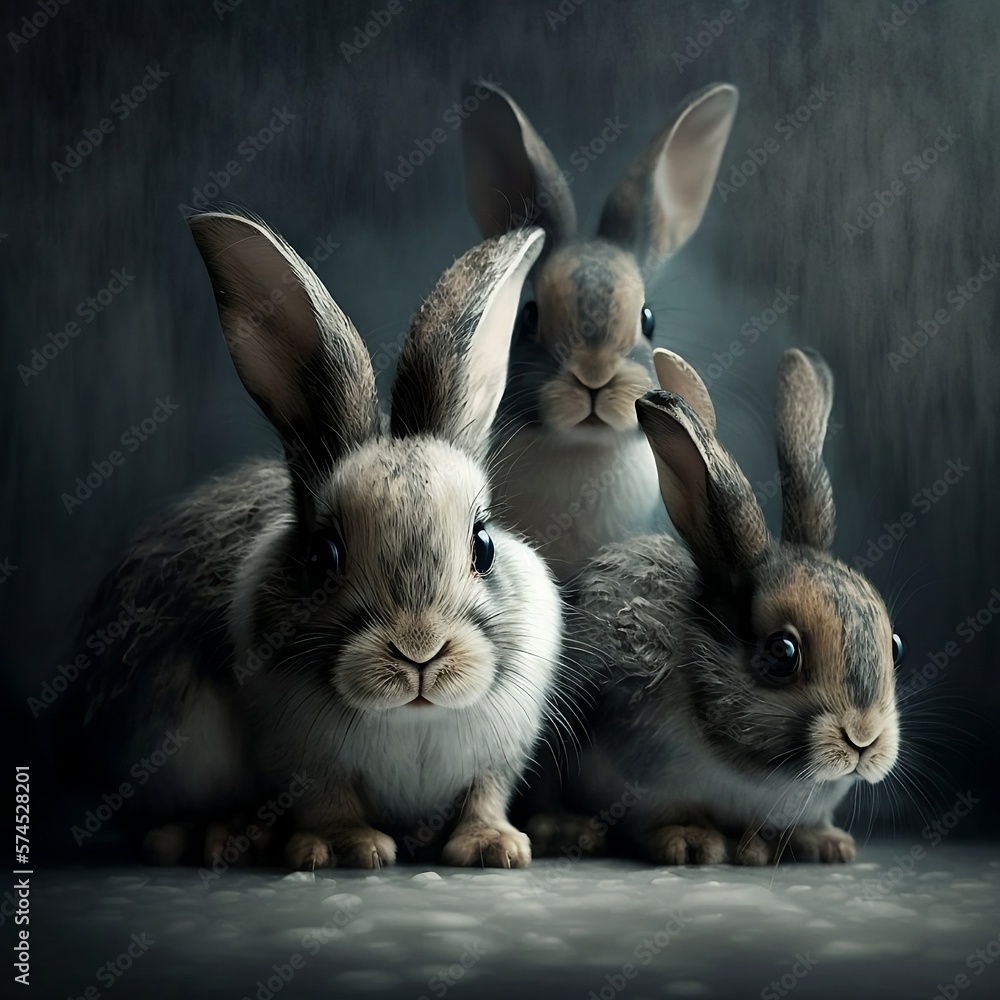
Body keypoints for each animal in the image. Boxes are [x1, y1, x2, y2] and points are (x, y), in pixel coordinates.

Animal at [62, 212, 566, 871]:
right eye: (322, 556)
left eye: (483, 546)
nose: (420, 651)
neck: (412, 721)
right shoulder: (303, 763)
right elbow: (329, 802)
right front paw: (347, 848)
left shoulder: (495, 762)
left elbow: (484, 796)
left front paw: (495, 847)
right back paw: (213, 836)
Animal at [558, 346, 904, 864]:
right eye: (782, 653)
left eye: (896, 646)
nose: (863, 739)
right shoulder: (644, 787)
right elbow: (662, 819)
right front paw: (692, 843)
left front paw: (826, 845)